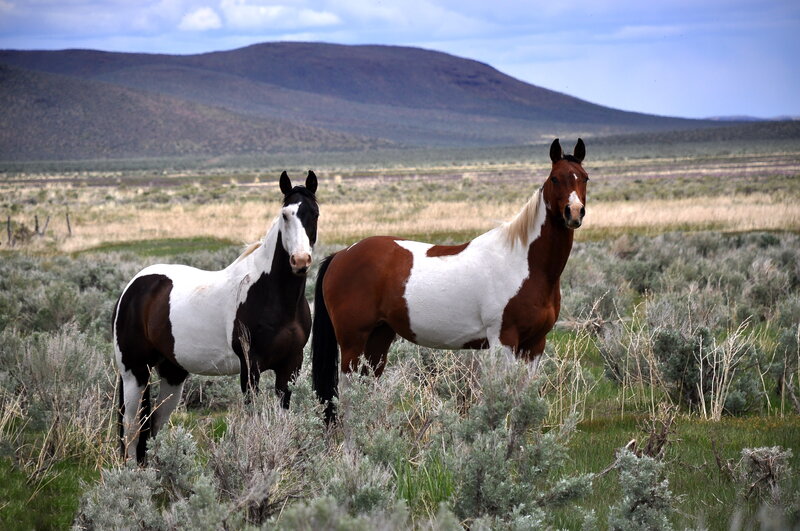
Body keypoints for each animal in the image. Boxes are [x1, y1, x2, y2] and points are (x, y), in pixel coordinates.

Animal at [113, 170, 319, 462]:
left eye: (314, 213)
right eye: (285, 215)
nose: (300, 261)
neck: (271, 293)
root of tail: (133, 287)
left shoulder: (290, 365)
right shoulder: (251, 368)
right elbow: (253, 415)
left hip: (172, 374)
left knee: (152, 426)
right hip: (134, 372)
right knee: (131, 429)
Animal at [312, 139, 588, 420]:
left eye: (584, 178)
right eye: (555, 178)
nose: (574, 213)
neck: (523, 262)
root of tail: (341, 255)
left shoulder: (535, 345)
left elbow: (522, 399)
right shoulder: (504, 341)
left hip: (379, 338)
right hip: (352, 343)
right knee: (347, 397)